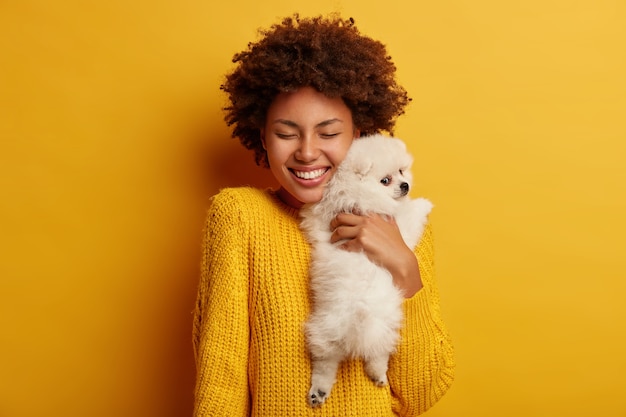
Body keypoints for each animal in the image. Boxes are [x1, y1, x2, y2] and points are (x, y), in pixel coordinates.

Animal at [300, 134, 432, 406]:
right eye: (385, 180)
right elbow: (411, 213)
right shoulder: (399, 226)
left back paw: (324, 389)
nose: (405, 185)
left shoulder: (322, 218)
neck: (357, 193)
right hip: (366, 328)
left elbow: (311, 215)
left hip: (330, 334)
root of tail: (354, 329)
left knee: (330, 362)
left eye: (401, 171)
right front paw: (424, 203)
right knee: (367, 356)